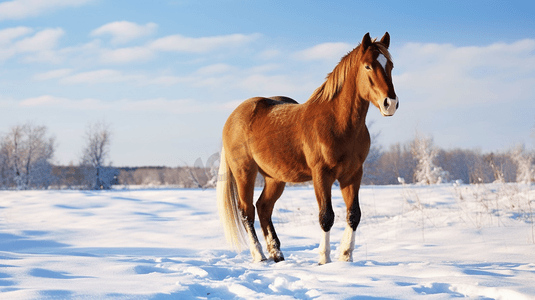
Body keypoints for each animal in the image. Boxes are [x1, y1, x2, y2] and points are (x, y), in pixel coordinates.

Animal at [217, 31, 398, 264]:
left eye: (390, 65)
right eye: (368, 66)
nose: (390, 103)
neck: (337, 122)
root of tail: (233, 117)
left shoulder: (353, 174)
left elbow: (354, 214)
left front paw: (345, 258)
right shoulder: (321, 175)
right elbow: (326, 216)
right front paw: (324, 260)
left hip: (274, 178)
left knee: (263, 207)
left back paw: (277, 254)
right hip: (244, 173)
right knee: (247, 211)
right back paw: (259, 256)